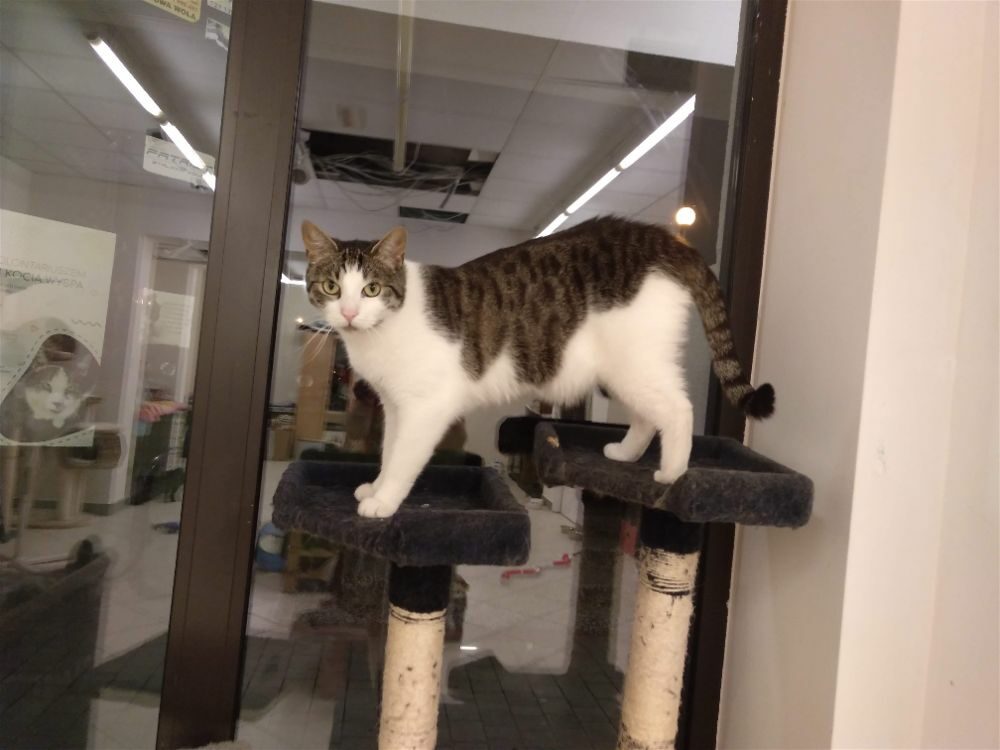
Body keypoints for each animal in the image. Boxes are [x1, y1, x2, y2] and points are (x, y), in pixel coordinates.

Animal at [301, 215, 774, 518]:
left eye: (371, 289)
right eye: (331, 287)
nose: (347, 313)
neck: (382, 331)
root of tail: (660, 237)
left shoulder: (425, 406)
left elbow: (403, 458)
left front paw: (384, 502)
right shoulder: (396, 405)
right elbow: (388, 451)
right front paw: (377, 486)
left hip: (636, 362)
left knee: (678, 410)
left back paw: (673, 476)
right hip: (624, 369)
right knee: (646, 414)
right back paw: (625, 454)